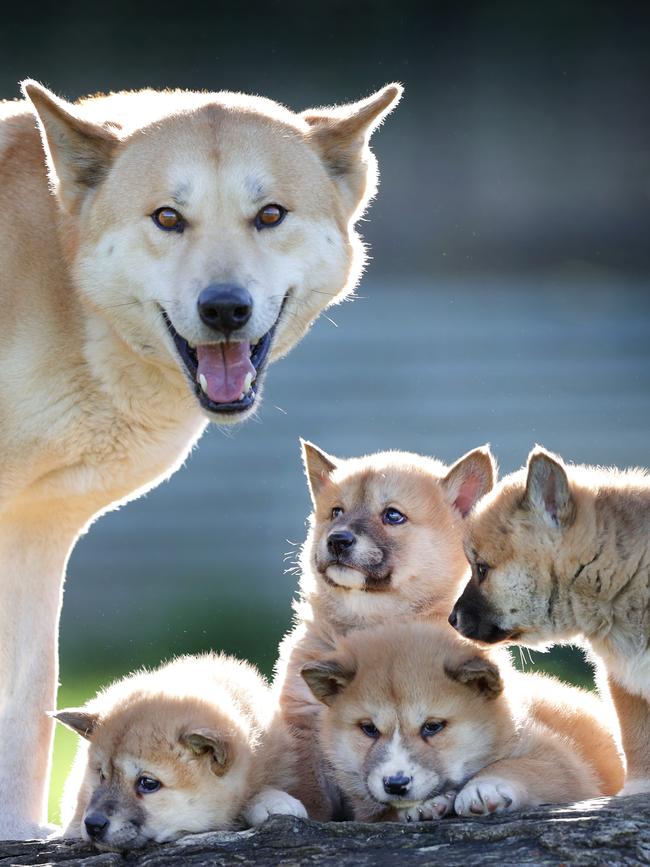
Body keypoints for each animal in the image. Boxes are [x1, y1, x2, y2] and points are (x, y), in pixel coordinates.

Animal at [270, 444, 494, 816]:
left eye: (393, 516)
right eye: (336, 512)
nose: (337, 540)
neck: (371, 622)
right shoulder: (303, 723)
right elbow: (310, 794)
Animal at [300, 624, 624, 820]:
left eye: (433, 726)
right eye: (369, 729)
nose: (395, 784)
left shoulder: (565, 764)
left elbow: (520, 766)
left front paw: (483, 789)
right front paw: (425, 806)